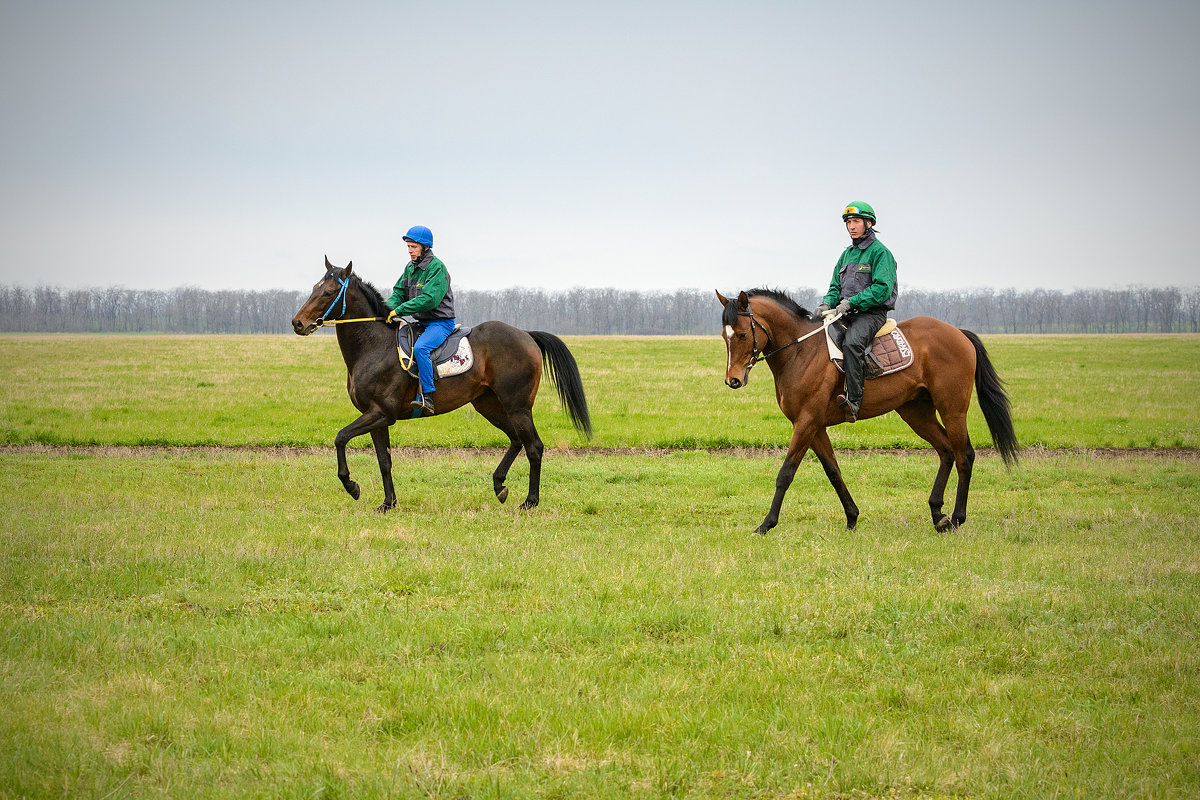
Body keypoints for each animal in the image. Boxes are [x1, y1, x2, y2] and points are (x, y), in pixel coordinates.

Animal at [290, 260, 590, 515]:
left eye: (328, 292)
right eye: (315, 288)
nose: (297, 323)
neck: (373, 347)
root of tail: (526, 335)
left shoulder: (381, 413)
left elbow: (340, 437)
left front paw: (352, 487)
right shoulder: (376, 418)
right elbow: (384, 461)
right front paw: (388, 503)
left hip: (517, 407)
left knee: (534, 447)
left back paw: (530, 501)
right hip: (489, 405)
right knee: (517, 440)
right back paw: (499, 485)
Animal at [715, 291, 1017, 534]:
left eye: (742, 334)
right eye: (724, 336)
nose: (733, 380)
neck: (800, 351)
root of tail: (958, 333)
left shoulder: (806, 423)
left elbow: (786, 473)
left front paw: (766, 524)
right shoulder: (814, 427)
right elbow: (833, 471)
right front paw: (852, 517)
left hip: (952, 409)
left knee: (964, 455)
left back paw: (956, 518)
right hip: (916, 412)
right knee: (945, 451)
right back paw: (937, 513)